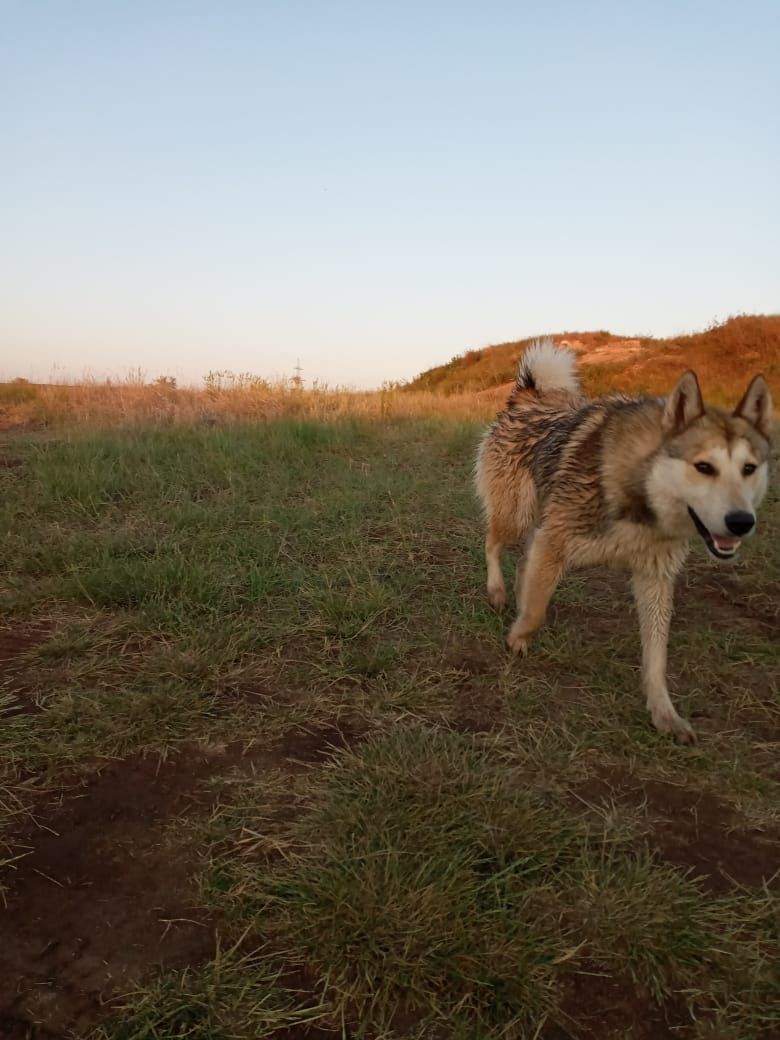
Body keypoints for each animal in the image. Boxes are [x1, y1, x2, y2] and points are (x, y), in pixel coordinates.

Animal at [476, 339, 777, 740]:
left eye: (749, 469)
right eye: (704, 467)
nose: (742, 522)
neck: (641, 490)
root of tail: (528, 398)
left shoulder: (654, 578)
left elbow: (656, 659)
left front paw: (665, 714)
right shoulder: (554, 541)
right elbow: (535, 612)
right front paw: (517, 638)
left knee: (522, 560)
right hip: (517, 516)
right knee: (491, 543)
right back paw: (496, 592)